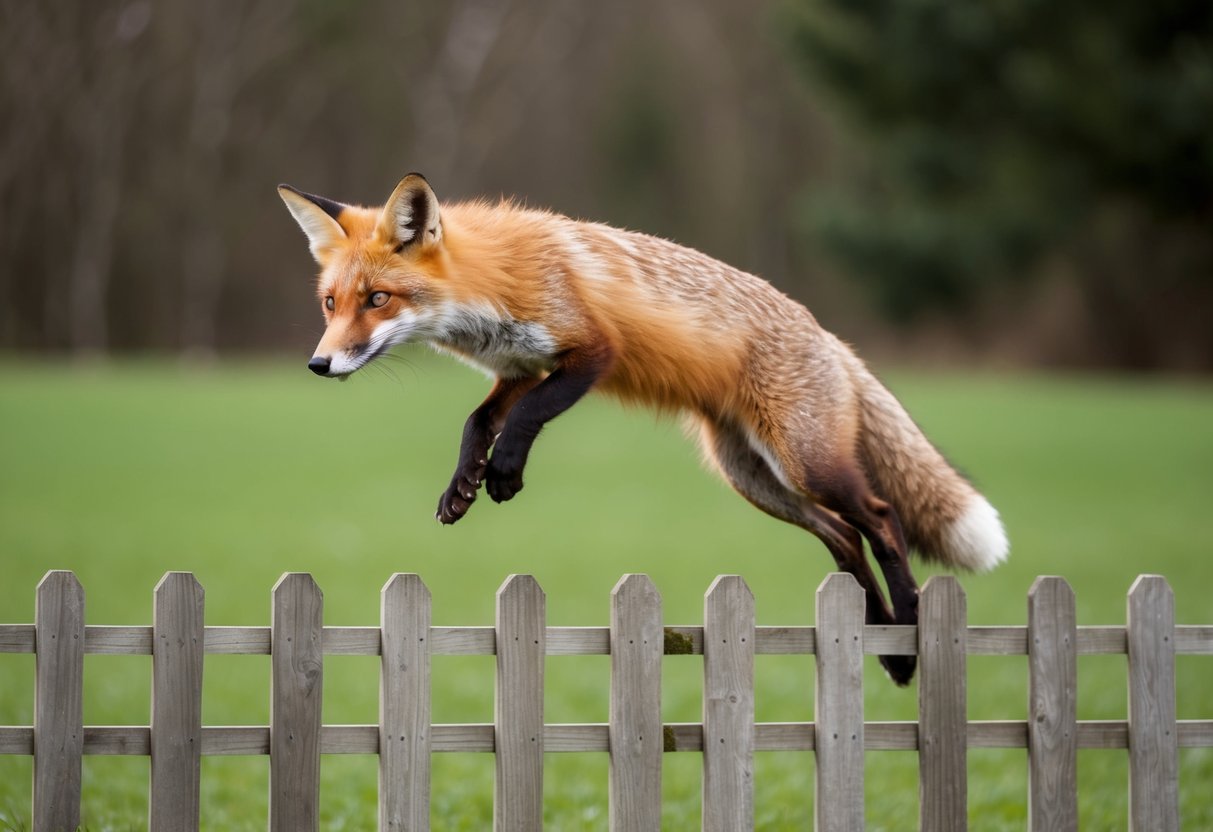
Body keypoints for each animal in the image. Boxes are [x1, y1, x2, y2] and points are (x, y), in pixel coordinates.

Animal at [278, 173, 1008, 684]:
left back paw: (908, 627)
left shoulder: (593, 351)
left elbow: (528, 417)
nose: (319, 363)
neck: (489, 286)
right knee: (844, 543)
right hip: (756, 481)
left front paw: (505, 474)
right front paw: (461, 486)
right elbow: (477, 420)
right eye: (330, 303)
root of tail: (826, 335)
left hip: (809, 465)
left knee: (881, 519)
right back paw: (886, 648)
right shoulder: (520, 365)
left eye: (378, 299)